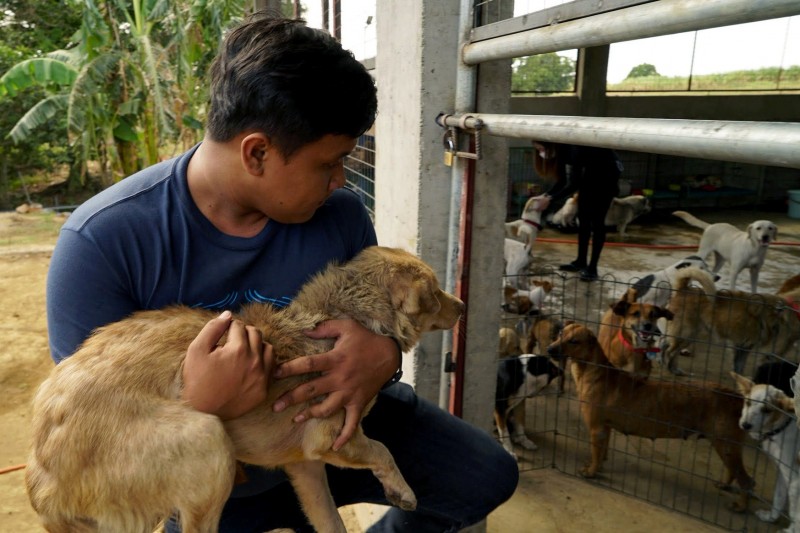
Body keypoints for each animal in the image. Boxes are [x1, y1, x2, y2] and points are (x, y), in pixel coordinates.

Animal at [26, 245, 462, 532]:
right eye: (435, 292)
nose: (460, 306)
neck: (335, 318)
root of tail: (42, 483)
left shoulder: (305, 467)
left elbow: (330, 521)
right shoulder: (334, 440)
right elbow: (383, 450)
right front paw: (402, 491)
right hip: (209, 440)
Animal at [548, 322, 752, 510]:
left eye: (574, 341)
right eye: (560, 333)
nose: (549, 349)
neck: (592, 370)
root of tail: (736, 397)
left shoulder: (596, 428)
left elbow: (596, 453)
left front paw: (591, 472)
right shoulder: (605, 428)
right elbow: (602, 452)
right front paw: (598, 466)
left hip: (725, 444)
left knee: (747, 481)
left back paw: (741, 506)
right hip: (726, 445)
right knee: (733, 471)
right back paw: (724, 484)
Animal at [664, 266, 800, 374]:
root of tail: (683, 289)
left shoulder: (744, 347)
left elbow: (739, 366)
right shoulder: (758, 350)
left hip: (690, 336)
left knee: (670, 350)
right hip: (685, 333)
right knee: (669, 352)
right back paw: (668, 366)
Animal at [736, 372, 796, 524]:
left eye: (767, 410)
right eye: (748, 402)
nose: (745, 425)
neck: (782, 428)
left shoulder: (795, 480)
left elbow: (796, 514)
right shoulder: (783, 472)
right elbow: (779, 497)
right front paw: (771, 518)